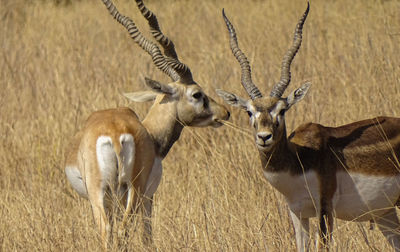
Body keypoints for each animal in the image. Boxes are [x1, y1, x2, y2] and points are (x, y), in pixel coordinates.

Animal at [64, 0, 230, 248]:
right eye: (197, 94)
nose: (225, 112)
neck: (151, 136)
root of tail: (115, 134)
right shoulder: (148, 196)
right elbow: (147, 235)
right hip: (127, 191)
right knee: (120, 231)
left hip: (107, 193)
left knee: (110, 232)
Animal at [217, 2, 400, 251]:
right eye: (249, 111)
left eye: (282, 110)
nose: (264, 137)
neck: (298, 161)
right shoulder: (298, 213)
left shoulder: (325, 208)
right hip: (386, 214)